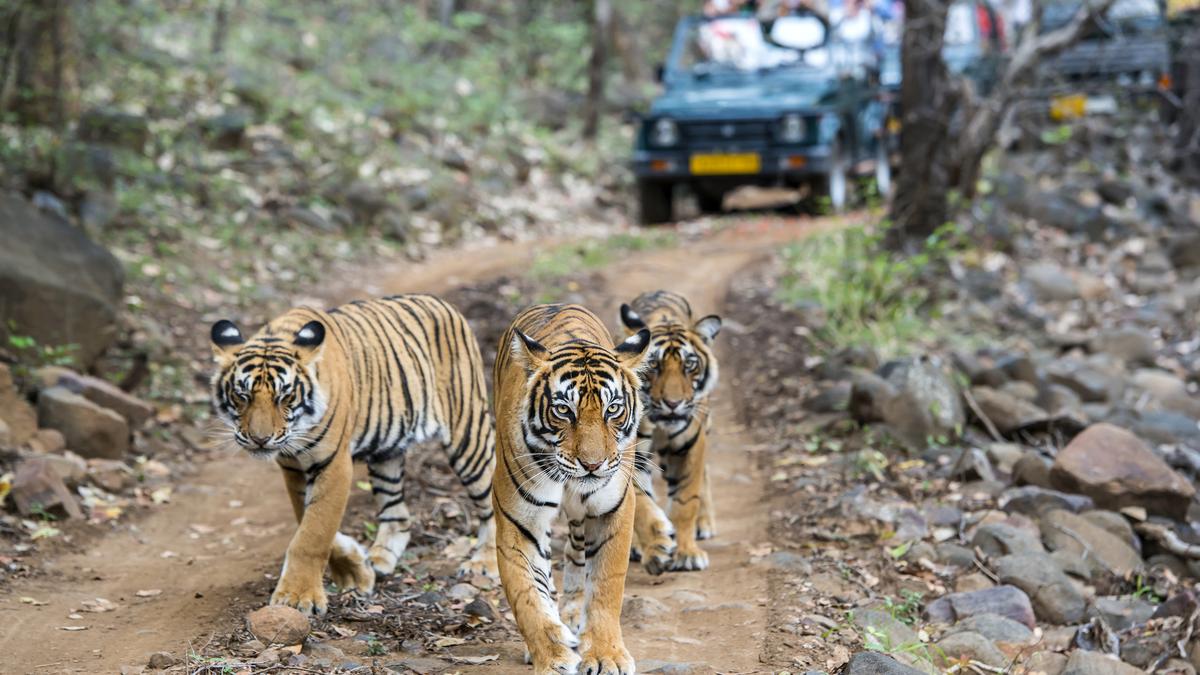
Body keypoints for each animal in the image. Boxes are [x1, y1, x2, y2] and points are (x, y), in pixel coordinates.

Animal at [211, 291, 496, 612]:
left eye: (285, 396)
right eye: (241, 395)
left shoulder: (333, 463)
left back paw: (485, 563)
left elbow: (314, 532)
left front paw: (298, 597)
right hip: (387, 453)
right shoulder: (293, 467)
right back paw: (380, 560)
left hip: (468, 433)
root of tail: (443, 303)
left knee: (491, 500)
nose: (260, 440)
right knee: (398, 515)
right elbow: (307, 520)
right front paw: (355, 570)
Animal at [492, 303, 652, 672]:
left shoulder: (612, 510)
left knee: (577, 552)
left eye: (613, 409)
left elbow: (606, 585)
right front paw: (552, 656)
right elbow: (527, 595)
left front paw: (606, 655)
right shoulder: (518, 522)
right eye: (564, 410)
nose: (592, 464)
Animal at [619, 285, 720, 569]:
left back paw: (705, 524)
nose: (673, 403)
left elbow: (686, 501)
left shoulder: (690, 445)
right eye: (654, 365)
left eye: (689, 365)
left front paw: (687, 553)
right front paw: (656, 546)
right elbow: (641, 502)